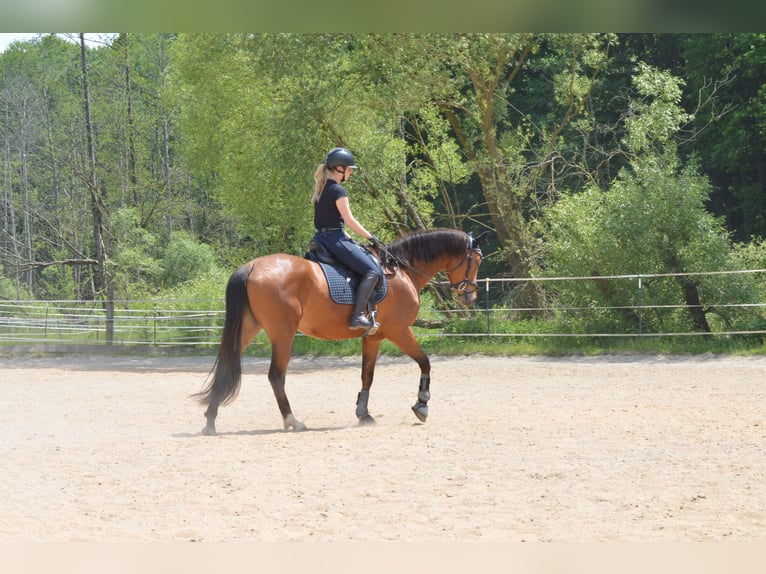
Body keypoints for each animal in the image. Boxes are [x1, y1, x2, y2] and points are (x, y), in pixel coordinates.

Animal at [195, 227, 488, 434]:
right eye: (475, 260)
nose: (470, 296)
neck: (402, 271)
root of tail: (252, 266)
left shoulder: (374, 337)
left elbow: (367, 376)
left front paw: (363, 413)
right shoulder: (400, 331)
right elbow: (425, 362)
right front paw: (422, 404)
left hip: (248, 328)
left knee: (227, 365)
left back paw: (210, 421)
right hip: (282, 333)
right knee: (276, 375)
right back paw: (293, 420)